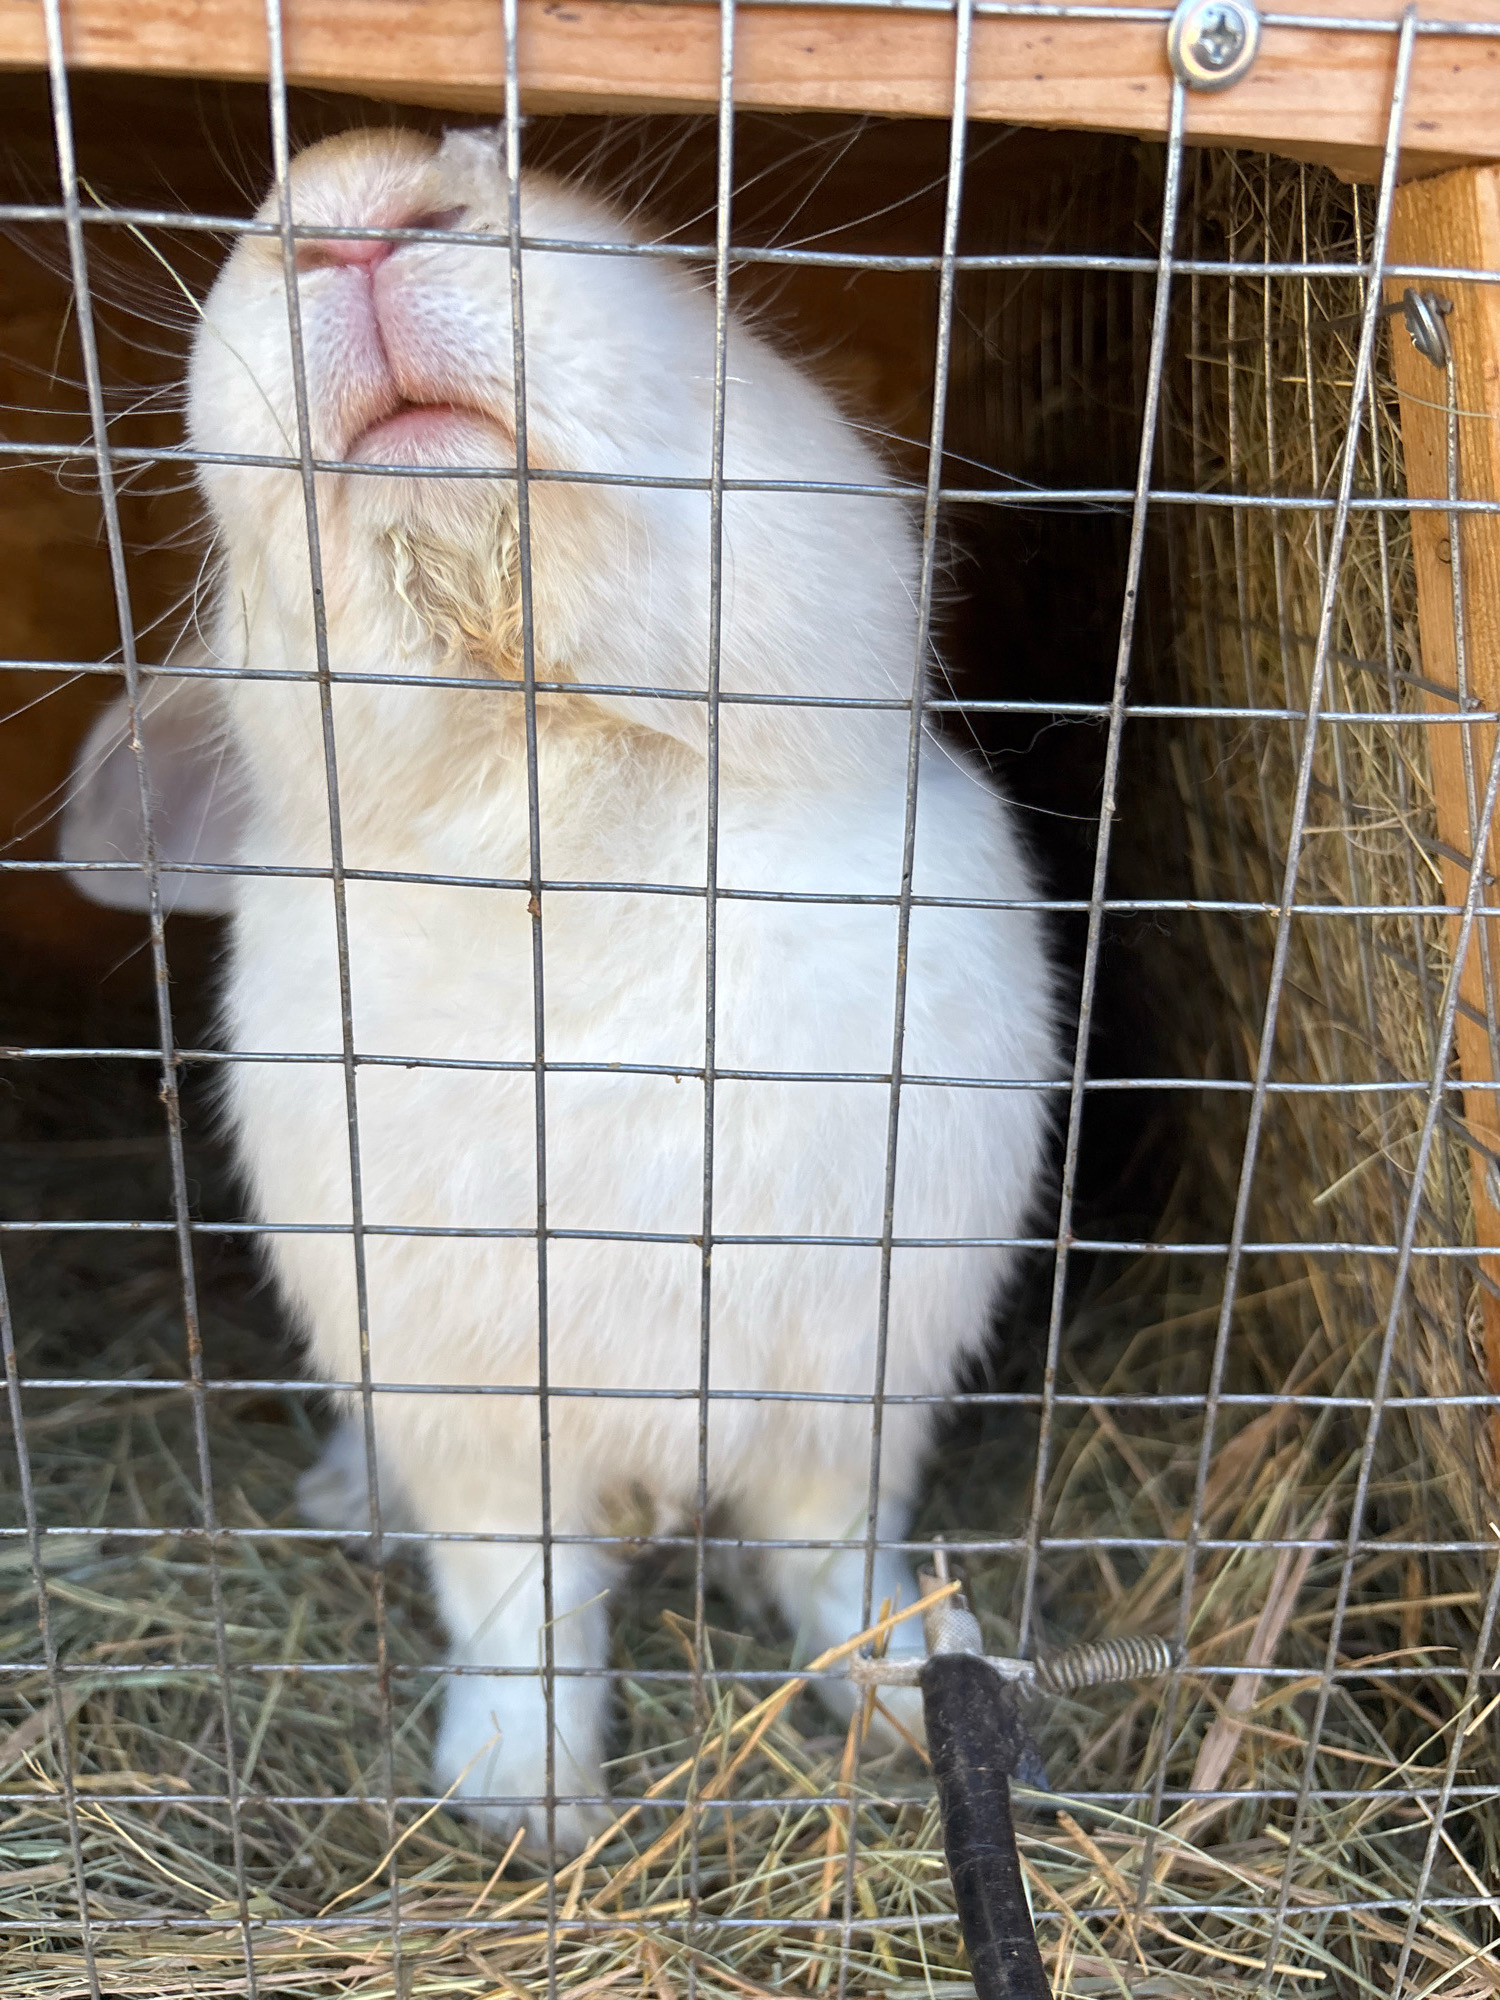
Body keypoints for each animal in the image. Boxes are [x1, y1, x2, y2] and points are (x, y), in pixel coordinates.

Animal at [184, 124, 1058, 1855]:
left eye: (672, 266)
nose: (353, 199)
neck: (562, 804)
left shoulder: (854, 1380)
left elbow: (839, 1560)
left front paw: (920, 1695)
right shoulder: (471, 1417)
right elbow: (519, 1609)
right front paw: (522, 1806)